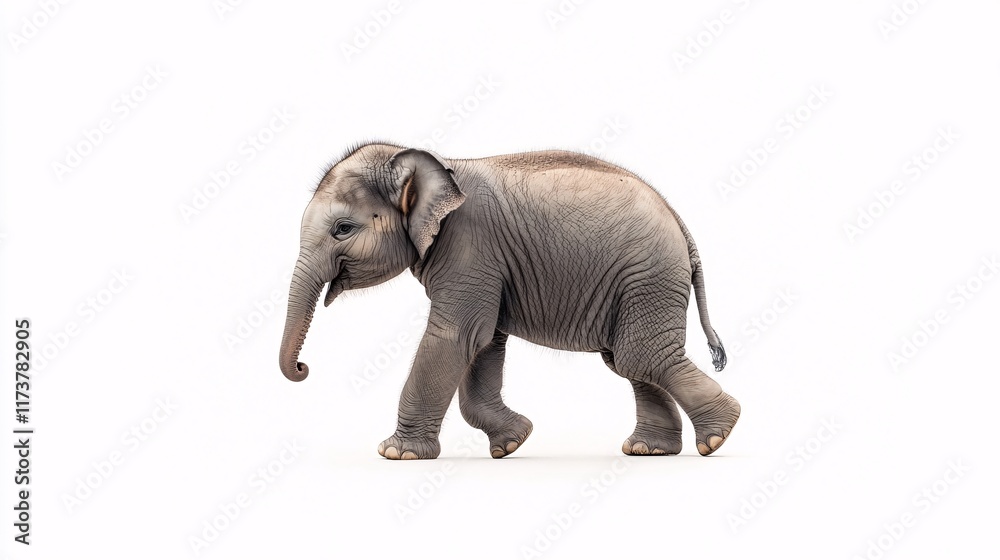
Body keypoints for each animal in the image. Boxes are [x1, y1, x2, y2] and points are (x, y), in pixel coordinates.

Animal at [279, 142, 740, 460]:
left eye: (342, 229)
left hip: (648, 277)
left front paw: (397, 454)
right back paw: (651, 450)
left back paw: (719, 435)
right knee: (629, 360)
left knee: (640, 355)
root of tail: (683, 227)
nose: (303, 368)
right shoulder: (488, 265)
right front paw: (512, 443)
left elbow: (457, 335)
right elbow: (483, 342)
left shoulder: (470, 247)